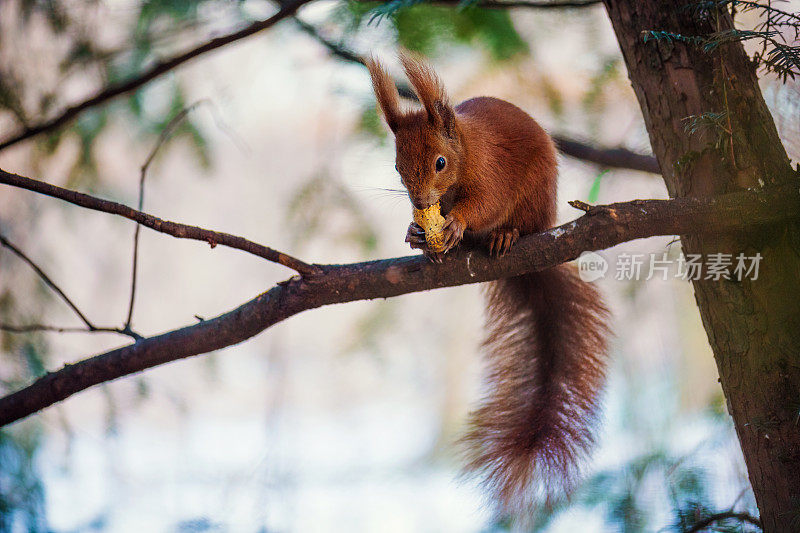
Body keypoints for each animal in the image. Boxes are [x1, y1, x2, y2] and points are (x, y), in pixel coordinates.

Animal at [368, 55, 612, 516]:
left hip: (535, 200)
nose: (419, 201)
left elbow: (485, 204)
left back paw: (504, 236)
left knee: (516, 221)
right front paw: (415, 232)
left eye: (440, 162)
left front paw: (458, 223)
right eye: (395, 165)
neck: (466, 152)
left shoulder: (492, 172)